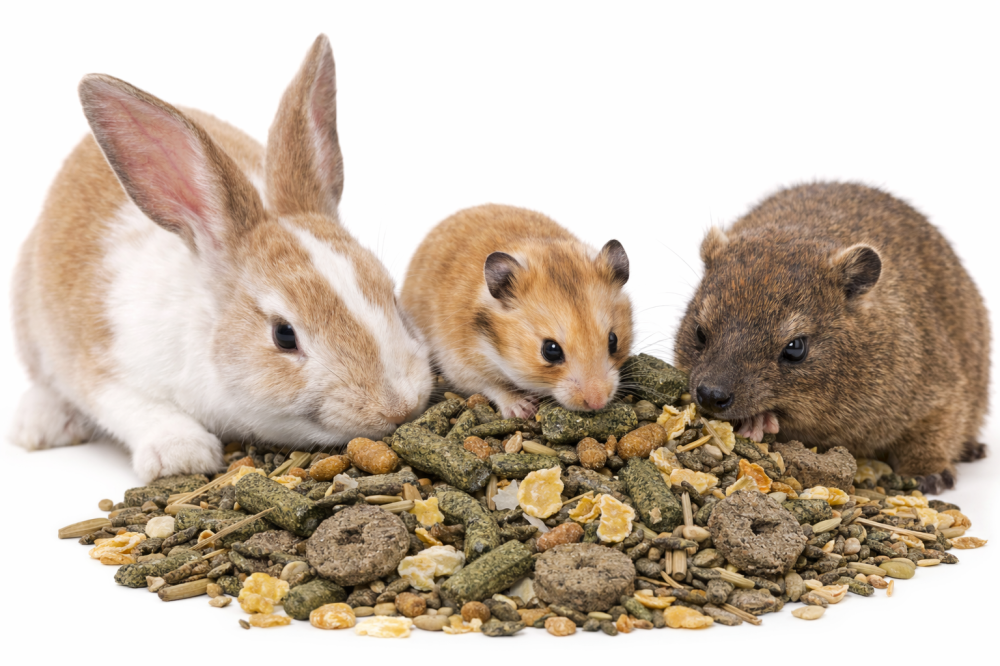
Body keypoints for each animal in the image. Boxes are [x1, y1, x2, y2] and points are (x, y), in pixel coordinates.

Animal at [9, 35, 433, 482]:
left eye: (392, 297)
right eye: (284, 335)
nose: (398, 407)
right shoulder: (101, 367)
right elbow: (128, 404)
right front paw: (181, 454)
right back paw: (39, 426)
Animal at [400, 204, 633, 419]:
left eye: (613, 340)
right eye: (550, 350)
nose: (598, 403)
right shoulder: (460, 365)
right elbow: (492, 386)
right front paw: (524, 410)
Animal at [674, 182, 989, 493]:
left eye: (795, 348)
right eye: (700, 331)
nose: (711, 394)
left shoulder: (941, 387)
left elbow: (936, 430)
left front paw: (927, 474)